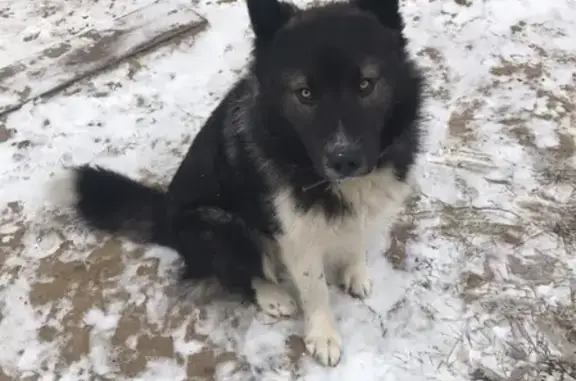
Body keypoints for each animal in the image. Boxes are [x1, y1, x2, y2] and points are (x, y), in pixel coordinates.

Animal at [51, 0, 424, 366]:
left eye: (365, 84)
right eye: (304, 93)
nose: (344, 160)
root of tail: (166, 216)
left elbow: (357, 240)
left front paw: (356, 271)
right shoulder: (295, 235)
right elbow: (315, 289)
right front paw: (323, 335)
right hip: (219, 224)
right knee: (238, 274)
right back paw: (271, 295)